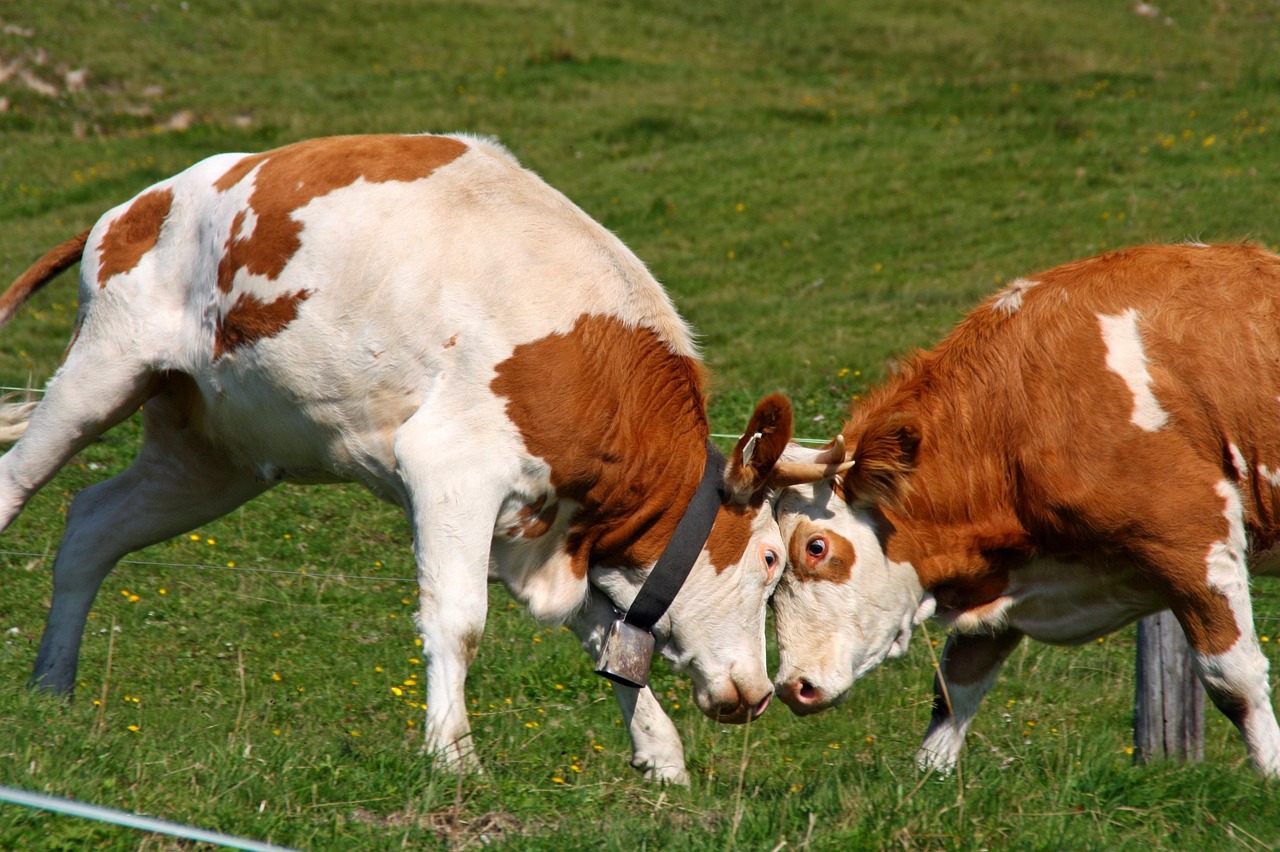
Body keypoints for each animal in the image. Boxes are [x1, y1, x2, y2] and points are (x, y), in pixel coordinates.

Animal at [0, 133, 829, 777]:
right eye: (769, 560)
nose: (757, 693)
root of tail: (134, 206)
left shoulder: (537, 528)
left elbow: (608, 635)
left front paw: (658, 752)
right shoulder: (452, 470)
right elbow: (459, 621)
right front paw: (453, 755)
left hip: (210, 454)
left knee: (91, 525)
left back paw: (53, 686)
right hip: (104, 367)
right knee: (17, 482)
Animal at [768, 241, 1280, 772]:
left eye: (816, 547)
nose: (792, 687)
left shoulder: (1195, 534)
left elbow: (1233, 678)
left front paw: (1267, 776)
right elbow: (954, 687)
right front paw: (927, 777)